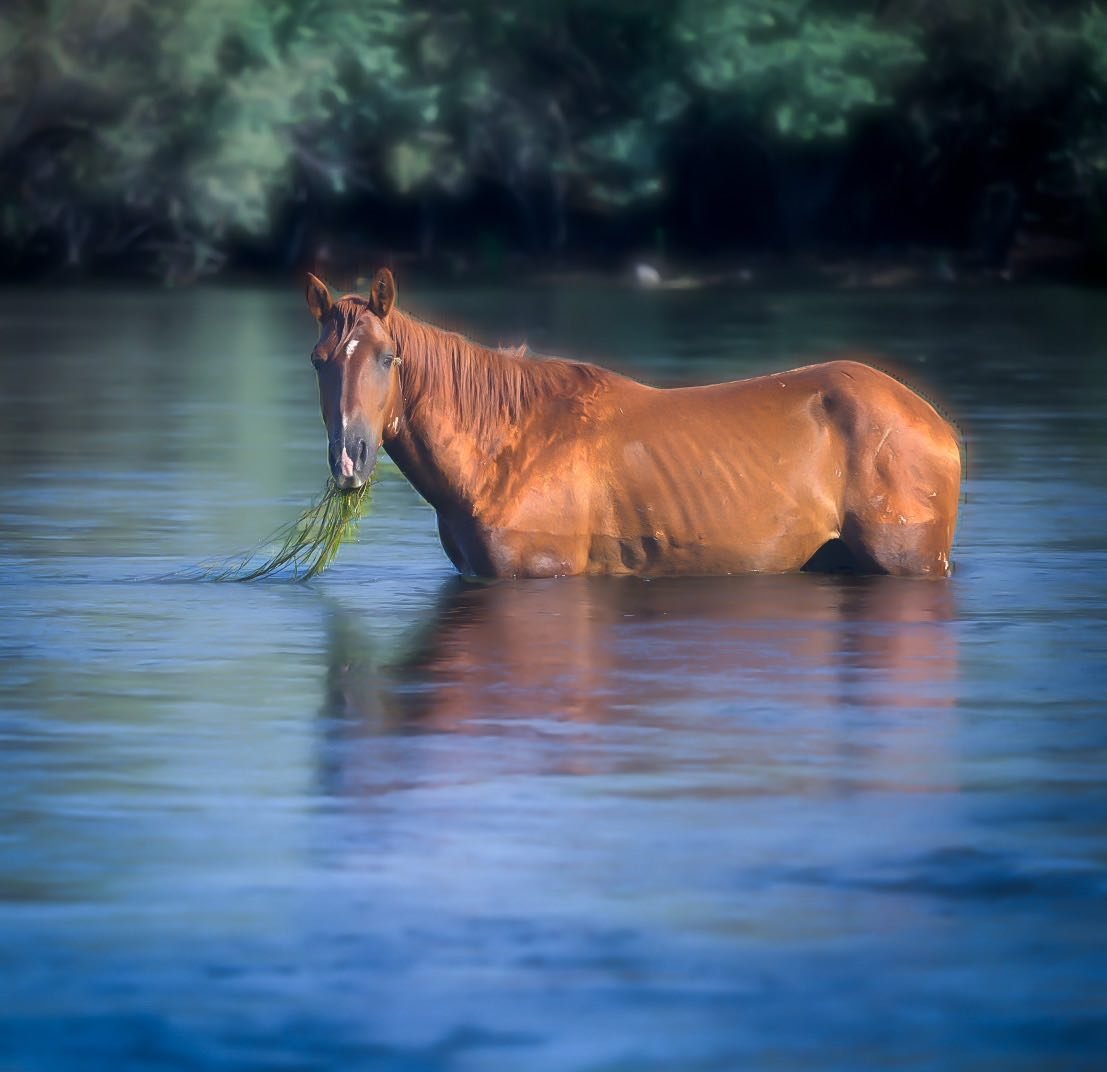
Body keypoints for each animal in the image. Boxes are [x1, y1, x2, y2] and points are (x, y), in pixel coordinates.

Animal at [305, 268, 961, 579]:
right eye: (318, 360)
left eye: (388, 357)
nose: (350, 457)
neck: (507, 452)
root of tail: (934, 422)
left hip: (910, 560)